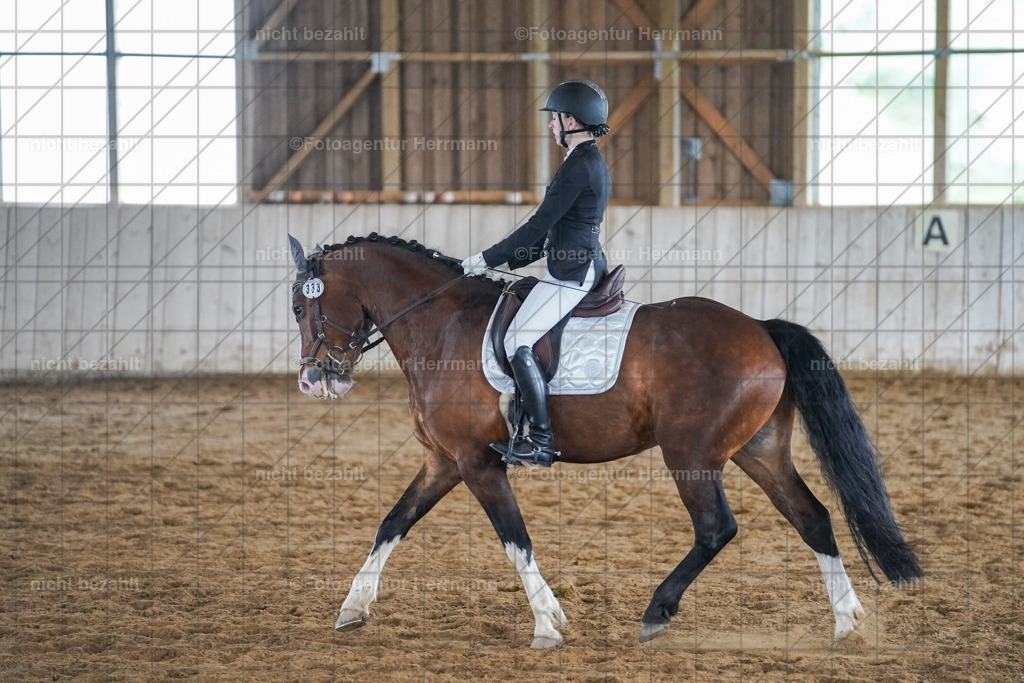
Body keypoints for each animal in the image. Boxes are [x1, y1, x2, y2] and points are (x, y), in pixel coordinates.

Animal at [288, 233, 923, 649]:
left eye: (300, 306)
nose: (315, 379)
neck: (441, 325)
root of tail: (763, 330)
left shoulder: (477, 464)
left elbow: (514, 539)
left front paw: (548, 624)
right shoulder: (444, 462)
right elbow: (391, 523)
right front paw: (352, 607)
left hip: (691, 455)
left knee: (717, 528)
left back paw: (658, 612)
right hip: (758, 449)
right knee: (812, 516)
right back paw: (847, 620)